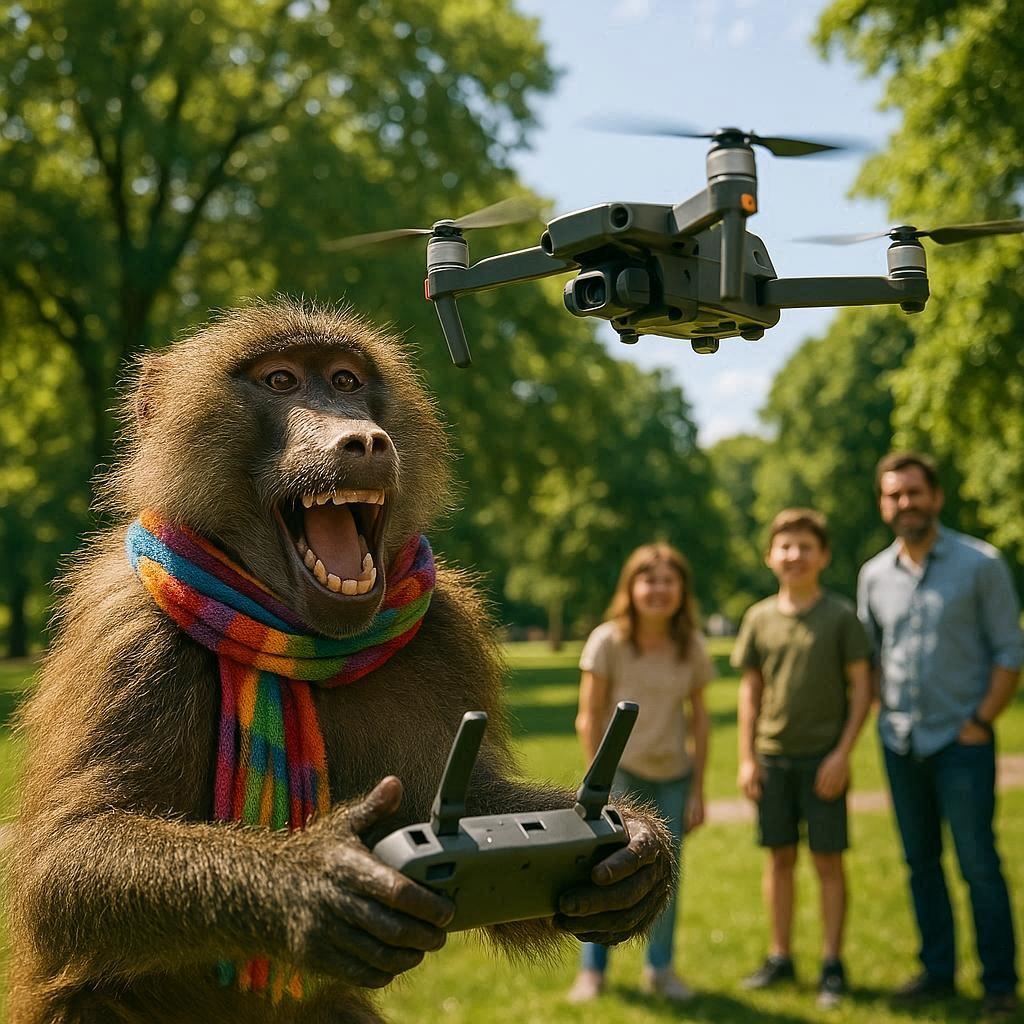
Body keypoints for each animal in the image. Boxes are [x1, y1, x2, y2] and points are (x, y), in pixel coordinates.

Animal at [5, 298, 674, 1024]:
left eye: (347, 381)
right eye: (281, 381)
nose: (366, 441)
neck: (304, 642)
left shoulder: (447, 631)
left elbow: (483, 804)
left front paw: (637, 847)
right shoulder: (128, 635)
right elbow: (64, 859)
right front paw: (314, 879)